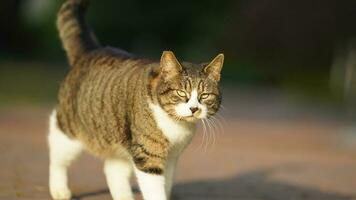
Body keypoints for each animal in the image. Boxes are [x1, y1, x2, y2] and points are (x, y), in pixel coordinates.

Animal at [48, 0, 224, 200]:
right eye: (181, 93)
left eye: (204, 95)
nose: (194, 108)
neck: (175, 125)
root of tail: (90, 50)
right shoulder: (149, 154)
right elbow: (155, 190)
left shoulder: (171, 158)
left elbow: (166, 184)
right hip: (69, 131)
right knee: (57, 155)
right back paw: (59, 189)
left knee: (112, 169)